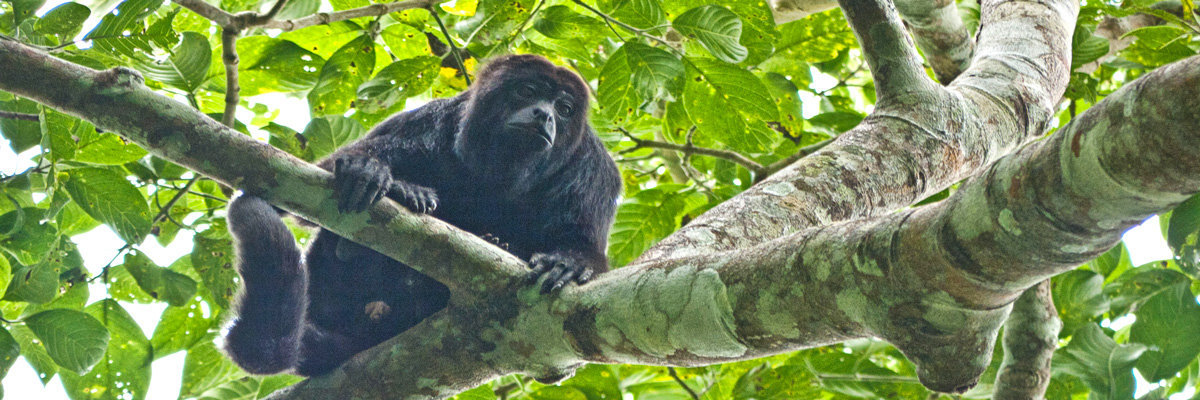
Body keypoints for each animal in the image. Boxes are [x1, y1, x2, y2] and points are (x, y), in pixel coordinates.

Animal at [220, 54, 624, 374]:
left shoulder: (595, 166)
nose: (545, 115)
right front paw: (369, 169)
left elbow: (585, 247)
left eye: (565, 109)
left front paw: (569, 262)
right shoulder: (432, 120)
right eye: (527, 91)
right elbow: (301, 191)